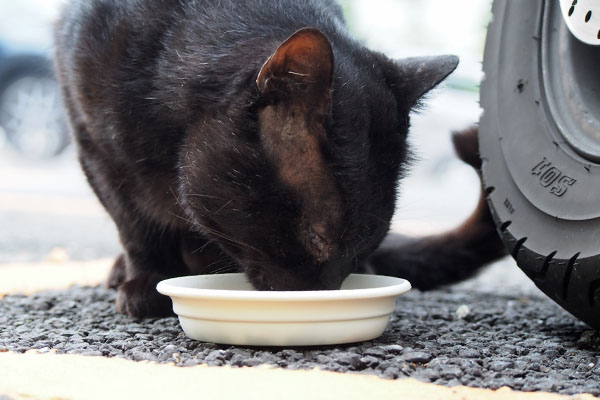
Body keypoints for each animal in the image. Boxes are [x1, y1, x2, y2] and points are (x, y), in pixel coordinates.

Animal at [55, 0, 506, 318]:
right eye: (316, 236)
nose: (322, 296)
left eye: (365, 244)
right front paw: (146, 284)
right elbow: (134, 223)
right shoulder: (91, 142)